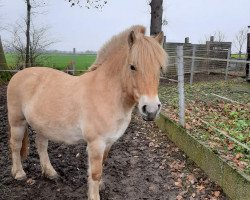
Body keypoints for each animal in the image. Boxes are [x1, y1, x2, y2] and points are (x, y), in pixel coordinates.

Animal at [7, 25, 167, 200]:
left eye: (160, 68)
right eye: (132, 66)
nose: (151, 109)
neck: (106, 93)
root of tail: (19, 74)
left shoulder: (108, 143)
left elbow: (101, 165)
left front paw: (100, 186)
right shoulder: (96, 143)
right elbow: (96, 172)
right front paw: (94, 195)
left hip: (42, 125)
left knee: (41, 145)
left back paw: (50, 173)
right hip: (17, 122)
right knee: (15, 145)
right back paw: (19, 173)